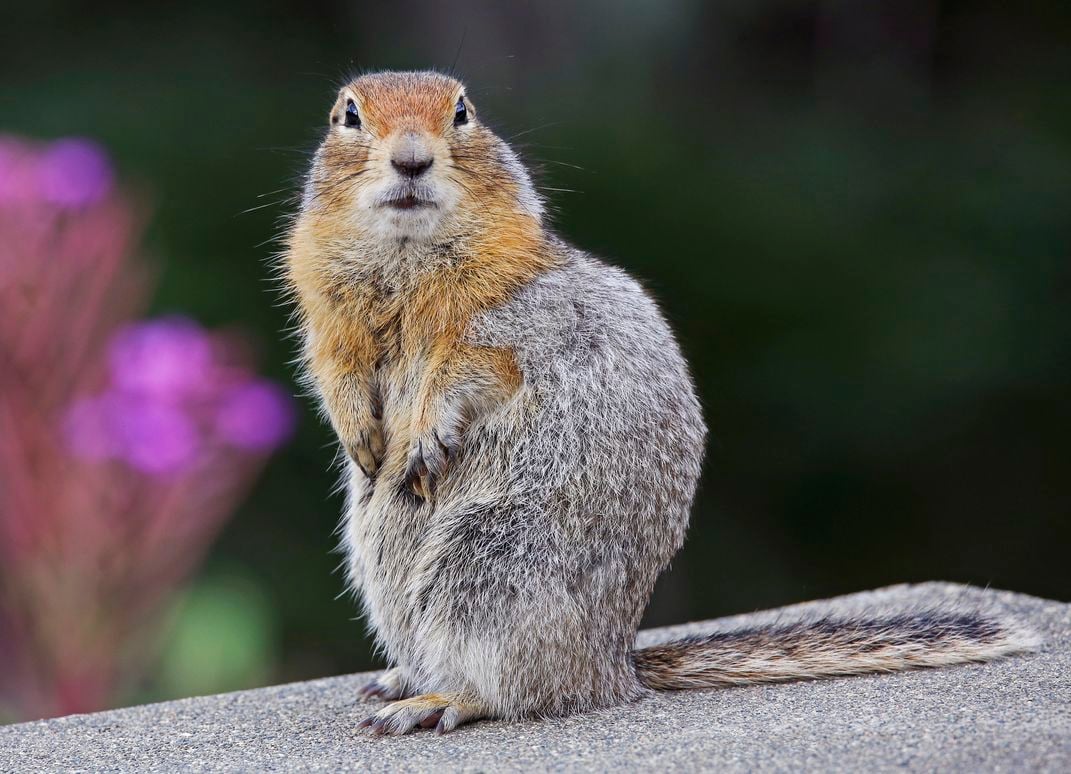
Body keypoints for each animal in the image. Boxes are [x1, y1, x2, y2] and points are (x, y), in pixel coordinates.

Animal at [284, 69, 1036, 736]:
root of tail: (615, 665)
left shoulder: (518, 319)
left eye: (463, 111)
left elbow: (469, 369)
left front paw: (421, 434)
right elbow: (333, 370)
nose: (411, 158)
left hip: (488, 565)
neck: (404, 264)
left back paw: (441, 700)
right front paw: (359, 436)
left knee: (522, 690)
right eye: (348, 114)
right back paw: (401, 679)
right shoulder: (330, 325)